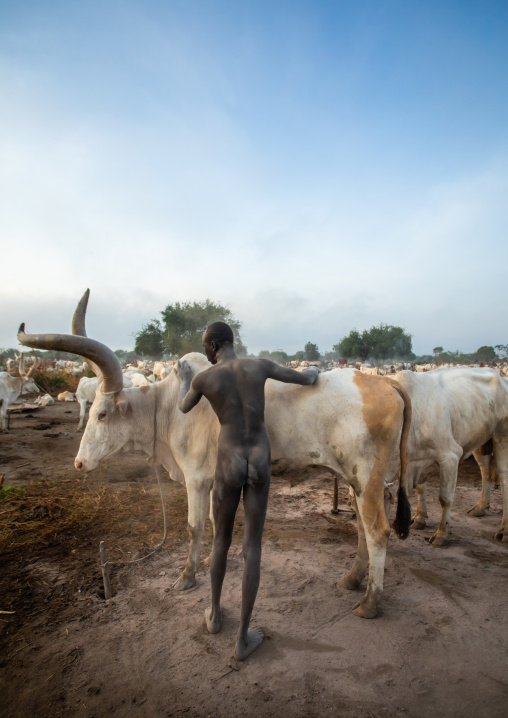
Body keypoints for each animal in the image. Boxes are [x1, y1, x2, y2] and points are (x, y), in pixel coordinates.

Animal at [17, 291, 412, 618]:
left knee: (378, 531)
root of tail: (386, 382)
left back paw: (371, 602)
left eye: (101, 414)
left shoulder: (195, 478)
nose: (79, 463)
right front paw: (209, 560)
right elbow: (212, 521)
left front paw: (187, 575)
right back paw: (352, 579)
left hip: (368, 477)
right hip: (354, 480)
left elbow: (194, 525)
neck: (165, 409)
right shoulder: (211, 480)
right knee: (362, 527)